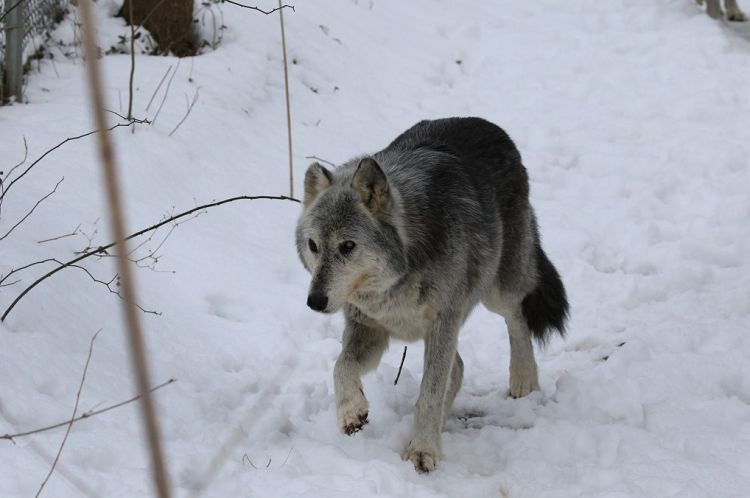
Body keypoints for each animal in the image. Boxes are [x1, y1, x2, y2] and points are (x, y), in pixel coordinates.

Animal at [295, 117, 568, 472]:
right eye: (313, 246)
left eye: (347, 246)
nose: (315, 301)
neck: (396, 281)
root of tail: (484, 123)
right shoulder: (370, 329)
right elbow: (340, 366)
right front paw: (351, 413)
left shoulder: (443, 323)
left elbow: (429, 394)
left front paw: (422, 452)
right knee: (460, 367)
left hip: (496, 291)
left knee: (516, 320)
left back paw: (523, 382)